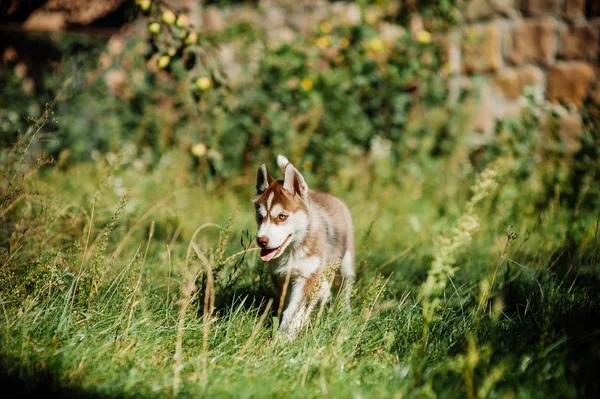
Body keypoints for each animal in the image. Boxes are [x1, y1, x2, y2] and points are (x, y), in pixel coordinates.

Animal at [252, 155, 354, 340]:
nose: (261, 241)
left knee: (346, 286)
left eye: (282, 216)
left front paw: (284, 338)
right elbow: (288, 306)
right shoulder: (281, 277)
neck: (292, 251)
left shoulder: (307, 276)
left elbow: (294, 310)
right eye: (260, 217)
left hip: (346, 261)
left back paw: (345, 309)